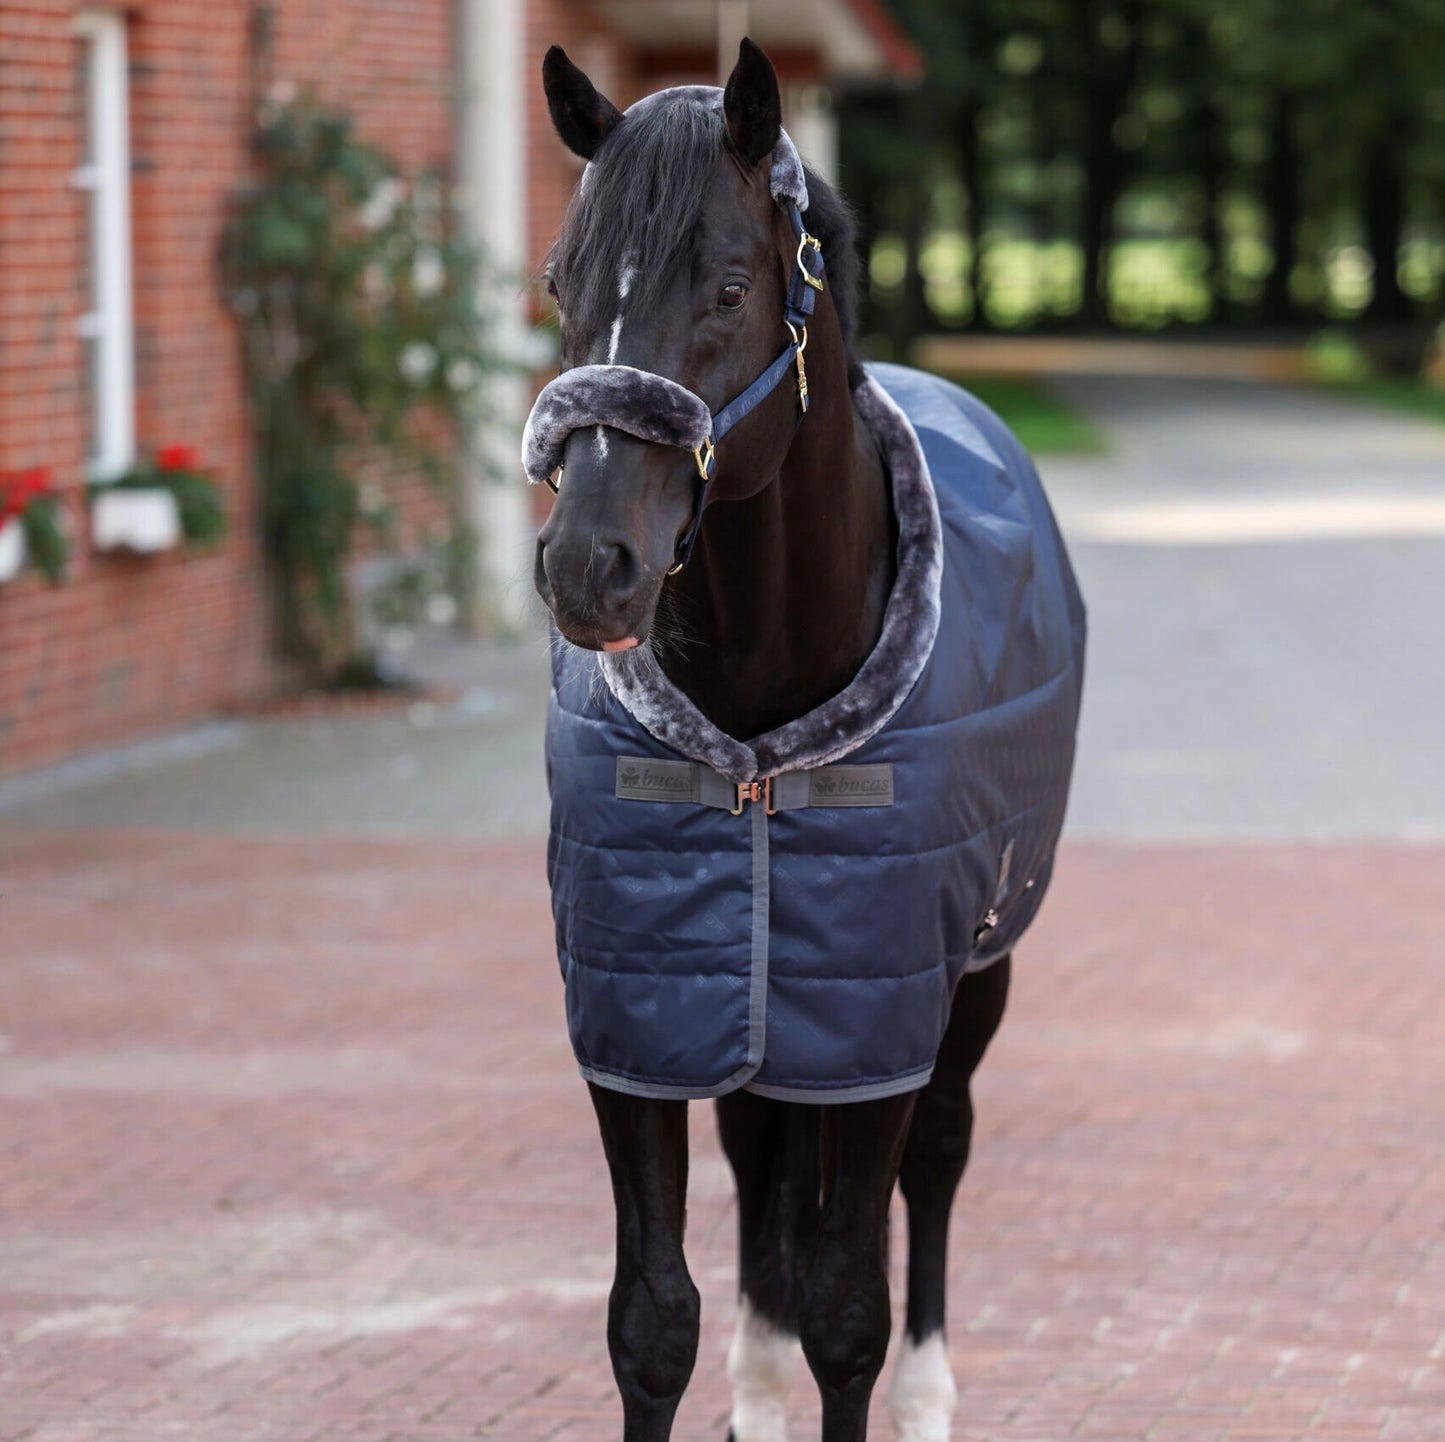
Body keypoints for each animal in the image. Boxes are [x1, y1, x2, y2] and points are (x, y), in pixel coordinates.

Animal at [525, 42, 1080, 1442]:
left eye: (728, 285)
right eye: (559, 282)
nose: (586, 565)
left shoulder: (879, 1025)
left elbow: (849, 1309)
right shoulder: (640, 1017)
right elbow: (652, 1318)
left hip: (977, 968)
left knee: (939, 1151)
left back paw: (930, 1393)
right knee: (765, 1159)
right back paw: (758, 1388)